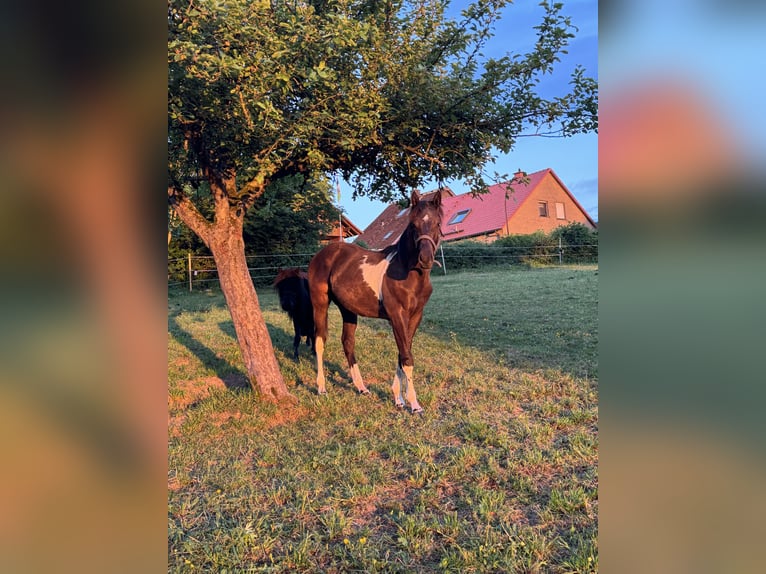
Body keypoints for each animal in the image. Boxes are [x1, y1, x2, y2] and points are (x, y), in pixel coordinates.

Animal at [308, 190, 442, 413]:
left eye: (438, 223)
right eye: (413, 224)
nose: (425, 259)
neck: (408, 272)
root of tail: (323, 253)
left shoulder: (415, 317)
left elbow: (403, 353)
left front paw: (398, 398)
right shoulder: (397, 316)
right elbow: (407, 357)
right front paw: (414, 404)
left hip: (348, 309)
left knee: (348, 342)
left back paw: (361, 387)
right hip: (320, 303)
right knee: (319, 341)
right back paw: (321, 388)